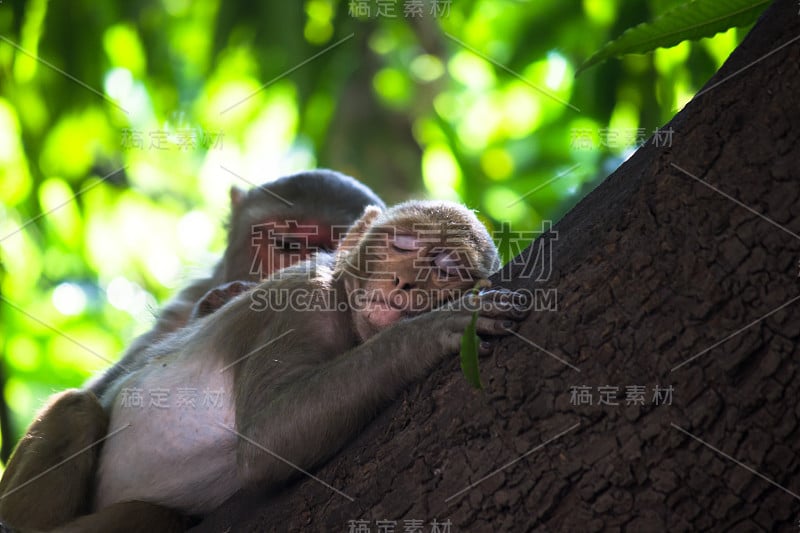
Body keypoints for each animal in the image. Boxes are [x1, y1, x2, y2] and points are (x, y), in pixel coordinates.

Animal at [1, 201, 532, 532]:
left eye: (445, 267)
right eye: (402, 244)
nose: (406, 284)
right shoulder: (301, 302)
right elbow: (266, 440)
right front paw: (432, 329)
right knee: (78, 410)